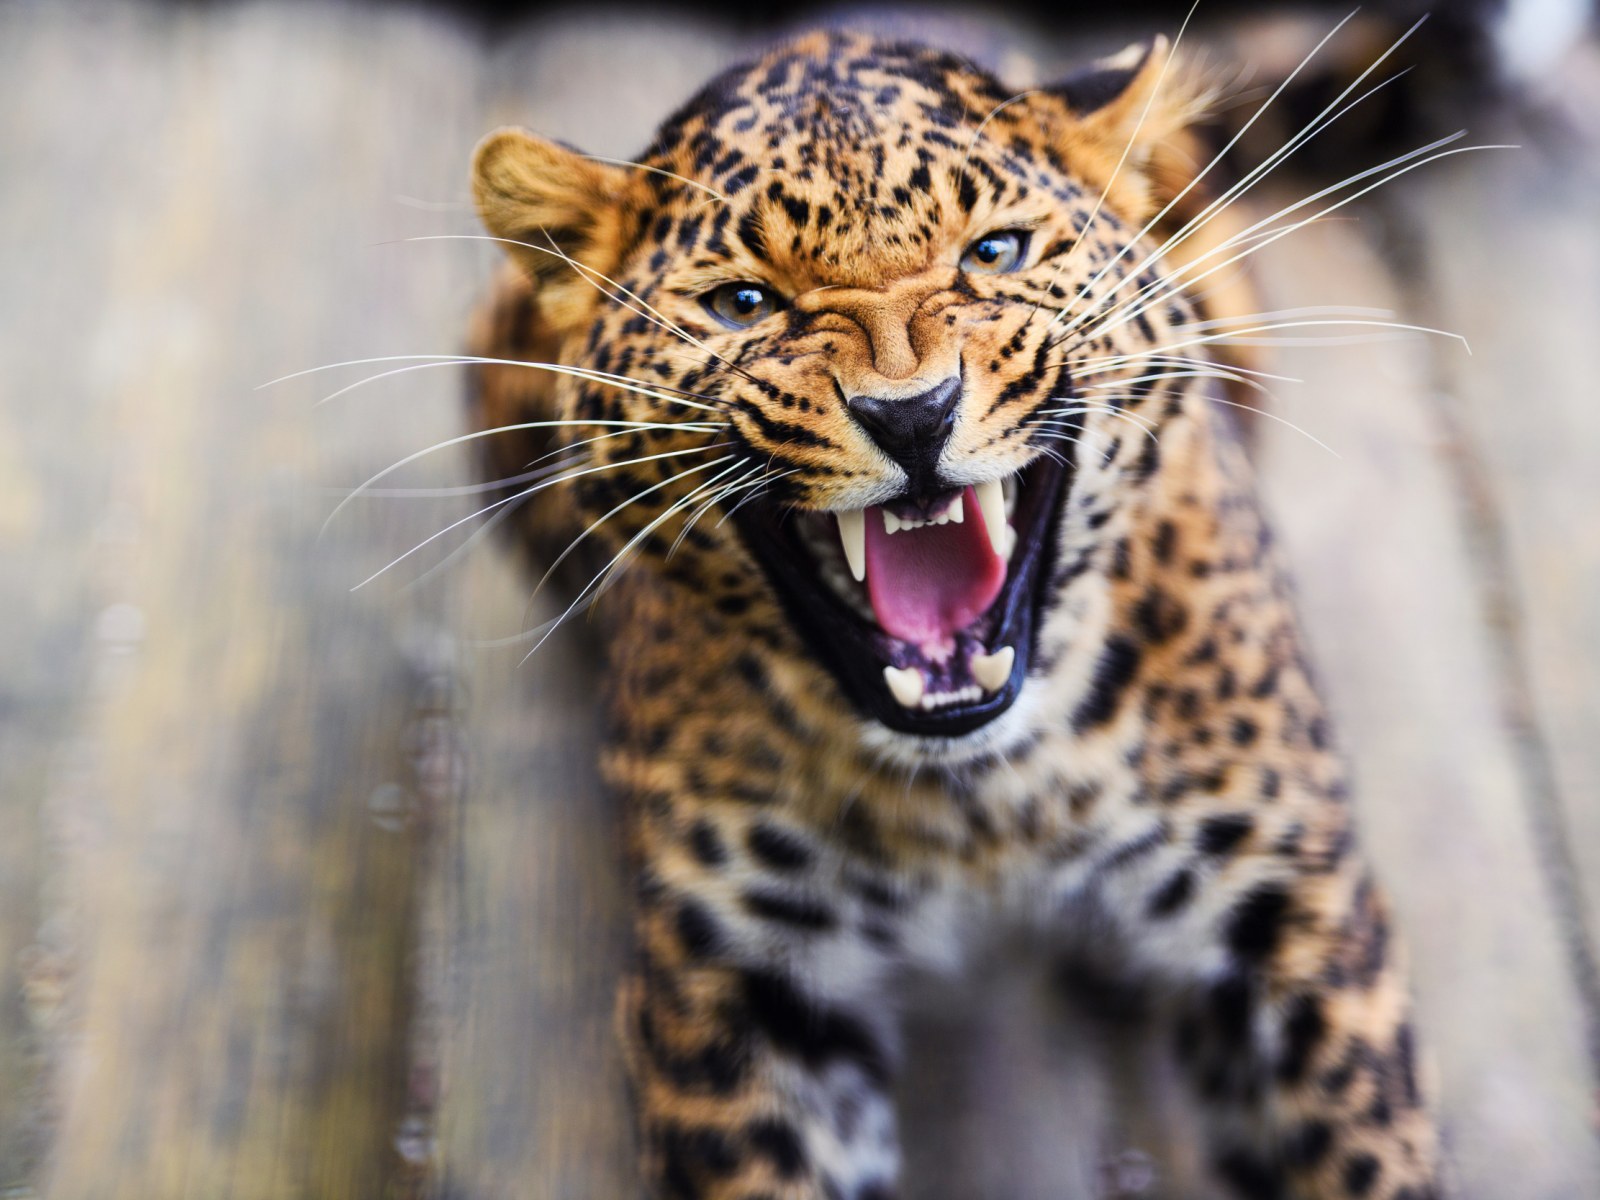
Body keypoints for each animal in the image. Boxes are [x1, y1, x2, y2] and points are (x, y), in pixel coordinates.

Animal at [461, 28, 1441, 1200]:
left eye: (997, 253)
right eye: (745, 304)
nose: (912, 415)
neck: (984, 801)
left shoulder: (1292, 915)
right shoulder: (736, 988)